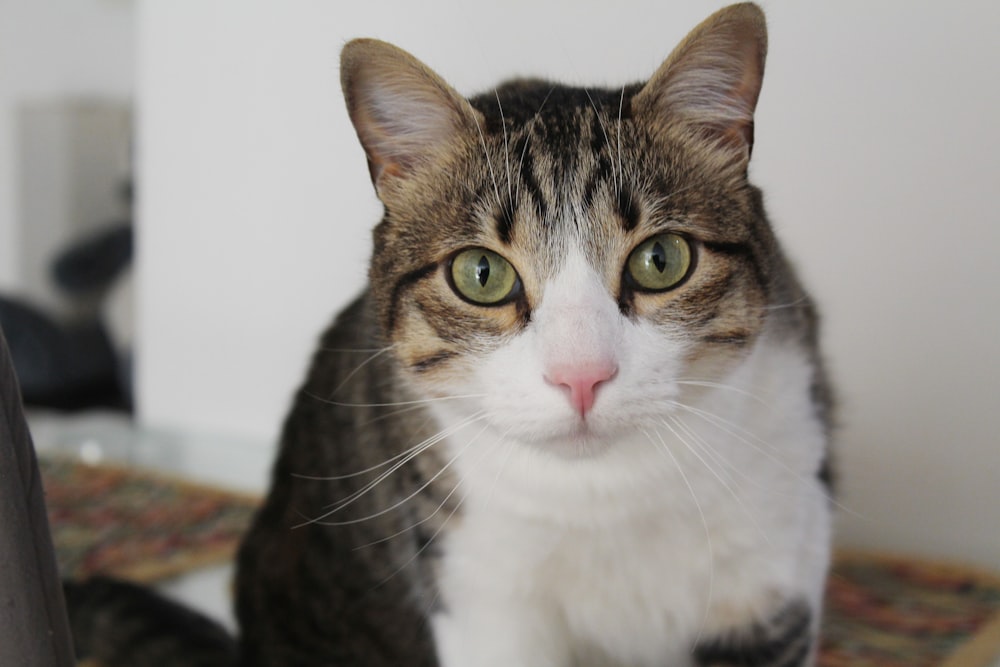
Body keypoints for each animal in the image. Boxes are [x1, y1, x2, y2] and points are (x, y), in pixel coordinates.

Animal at [64, 5, 836, 667]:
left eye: (662, 259)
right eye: (481, 273)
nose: (581, 375)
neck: (606, 498)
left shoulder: (771, 581)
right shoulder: (480, 595)